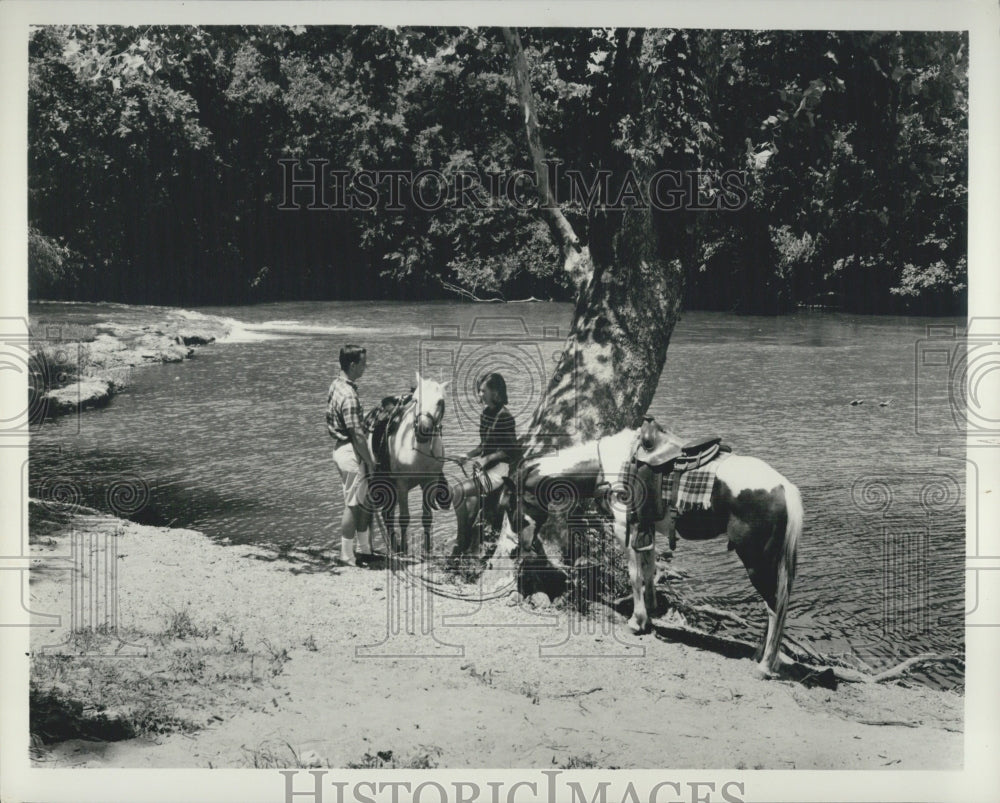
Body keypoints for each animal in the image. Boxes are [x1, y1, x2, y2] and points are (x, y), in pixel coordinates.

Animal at [372, 374, 450, 556]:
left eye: (440, 401)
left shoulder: (430, 482)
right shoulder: (402, 483)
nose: (423, 428)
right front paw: (406, 550)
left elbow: (427, 517)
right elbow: (404, 518)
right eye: (416, 400)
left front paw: (427, 550)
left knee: (387, 514)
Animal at [496, 420, 800, 680]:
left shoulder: (624, 528)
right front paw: (651, 610)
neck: (608, 466)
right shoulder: (647, 527)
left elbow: (634, 575)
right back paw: (761, 656)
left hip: (756, 559)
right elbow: (650, 568)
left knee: (774, 606)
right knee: (777, 604)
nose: (510, 549)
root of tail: (785, 488)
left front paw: (637, 621)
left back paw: (764, 666)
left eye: (509, 505)